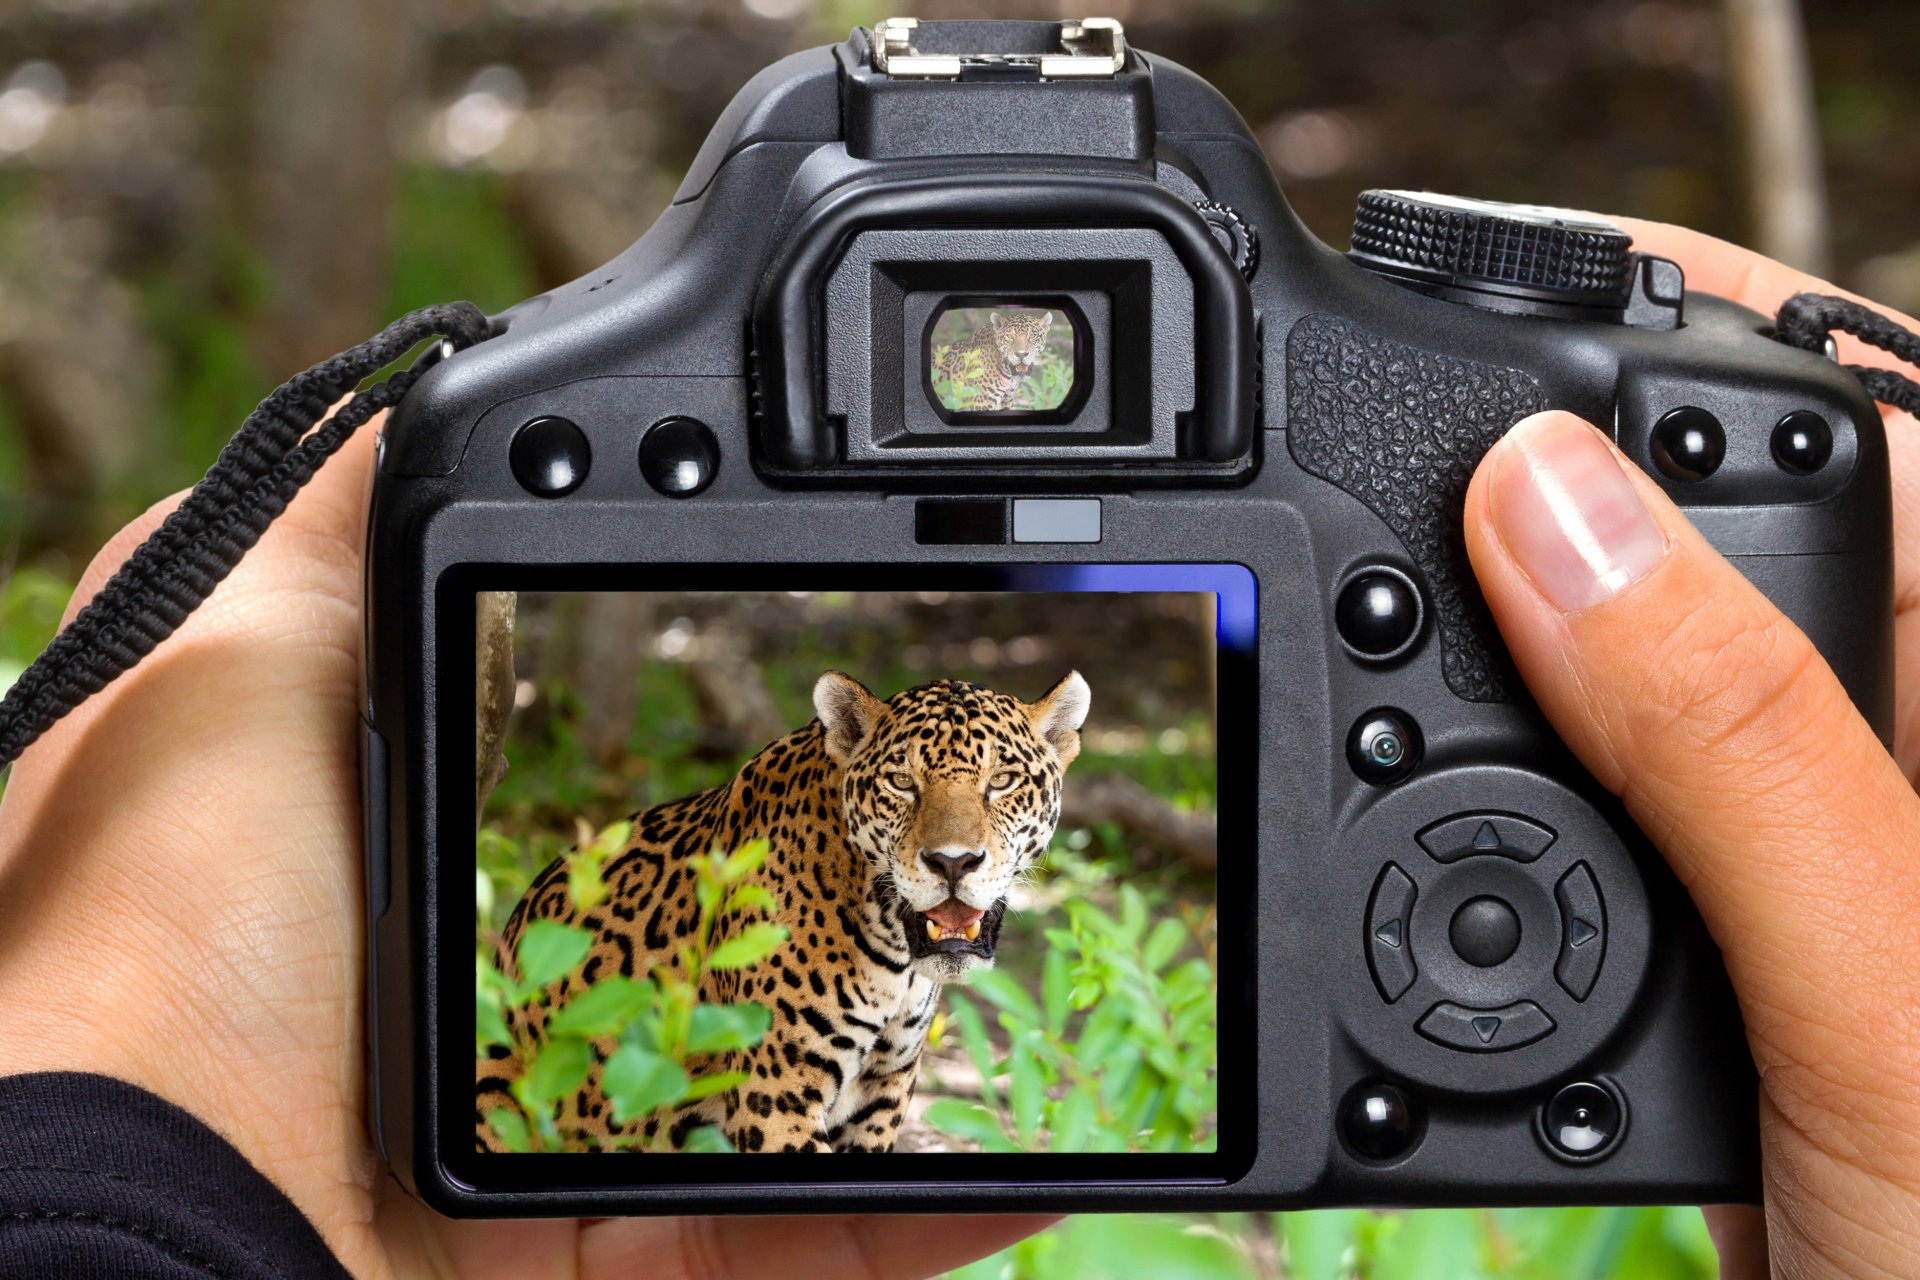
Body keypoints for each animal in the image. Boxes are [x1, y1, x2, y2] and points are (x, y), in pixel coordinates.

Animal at [476, 669, 1091, 1153]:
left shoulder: (882, 1097)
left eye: (1002, 781)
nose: (953, 862)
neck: (893, 953)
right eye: (901, 782)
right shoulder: (778, 1097)